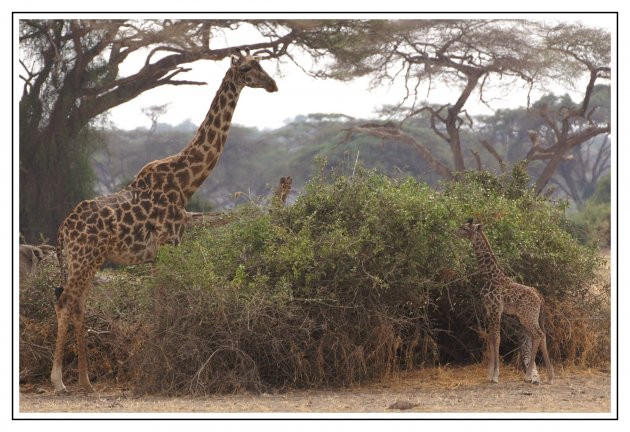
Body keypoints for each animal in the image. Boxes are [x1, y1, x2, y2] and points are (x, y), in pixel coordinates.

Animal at [456, 219, 556, 384]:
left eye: (465, 228)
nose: (455, 232)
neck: (489, 276)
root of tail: (540, 297)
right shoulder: (489, 310)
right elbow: (491, 338)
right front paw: (489, 374)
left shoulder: (496, 309)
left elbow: (497, 338)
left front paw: (495, 376)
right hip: (530, 317)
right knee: (541, 336)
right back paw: (549, 376)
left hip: (527, 316)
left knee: (539, 335)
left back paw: (529, 376)